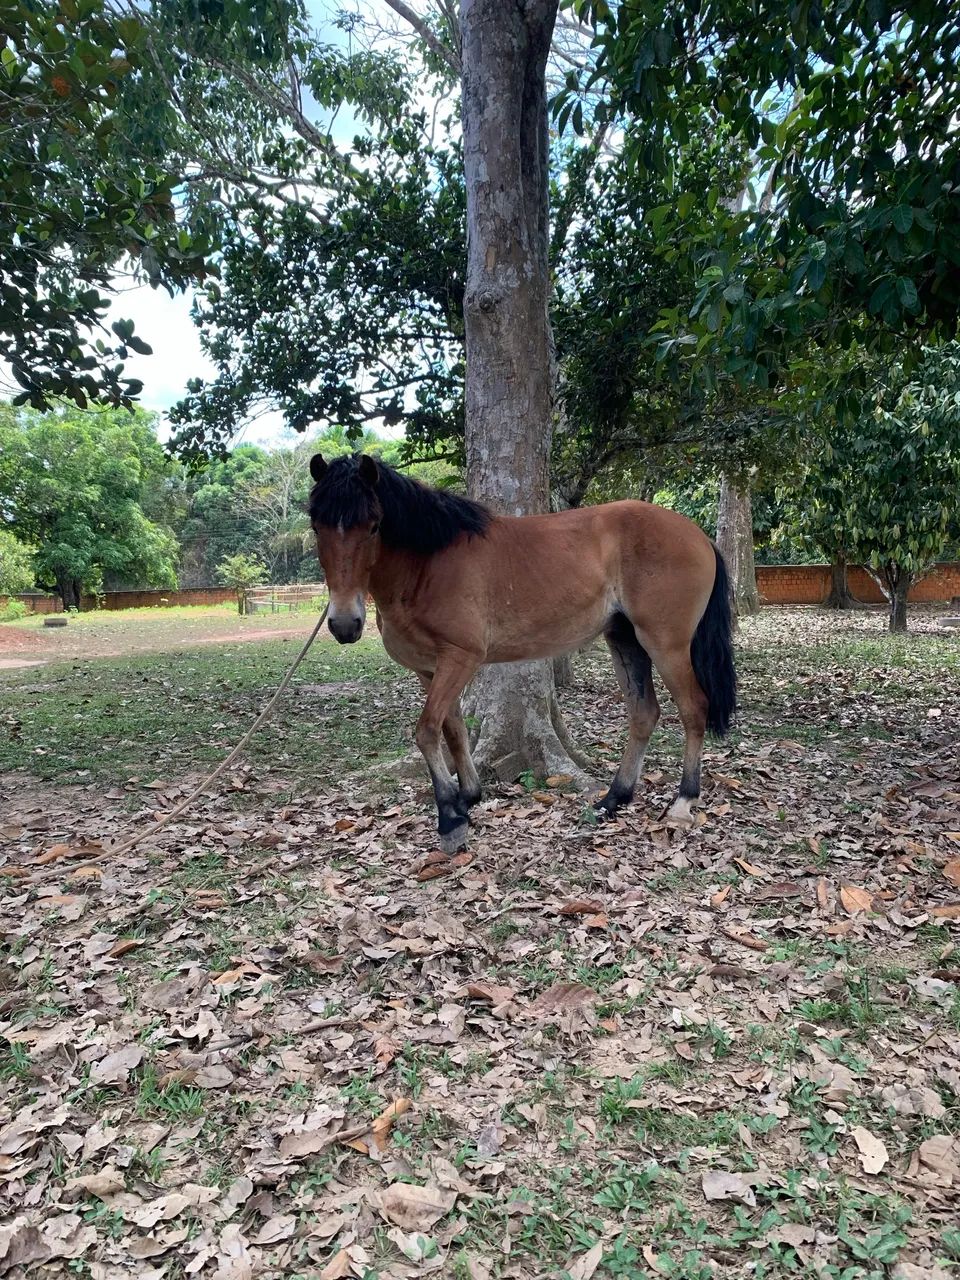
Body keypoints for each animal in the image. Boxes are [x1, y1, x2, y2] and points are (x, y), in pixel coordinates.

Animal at [308, 453, 736, 853]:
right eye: (316, 526)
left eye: (374, 525)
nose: (344, 624)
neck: (428, 564)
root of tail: (698, 536)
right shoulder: (430, 669)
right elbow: (453, 730)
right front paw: (467, 799)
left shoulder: (460, 658)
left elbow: (427, 731)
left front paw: (449, 818)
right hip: (625, 639)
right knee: (644, 714)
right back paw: (614, 798)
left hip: (666, 644)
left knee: (693, 709)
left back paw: (683, 801)